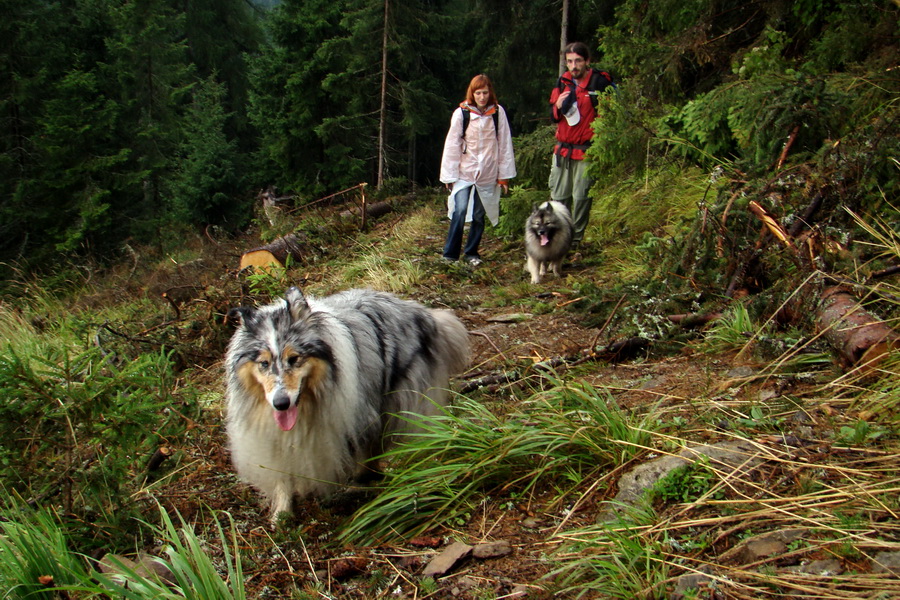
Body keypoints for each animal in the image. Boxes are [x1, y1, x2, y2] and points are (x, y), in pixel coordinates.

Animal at [223, 288, 472, 524]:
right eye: (263, 363)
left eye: (294, 359)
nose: (281, 404)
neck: (310, 402)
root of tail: (420, 311)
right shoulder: (276, 437)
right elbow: (283, 472)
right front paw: (282, 515)